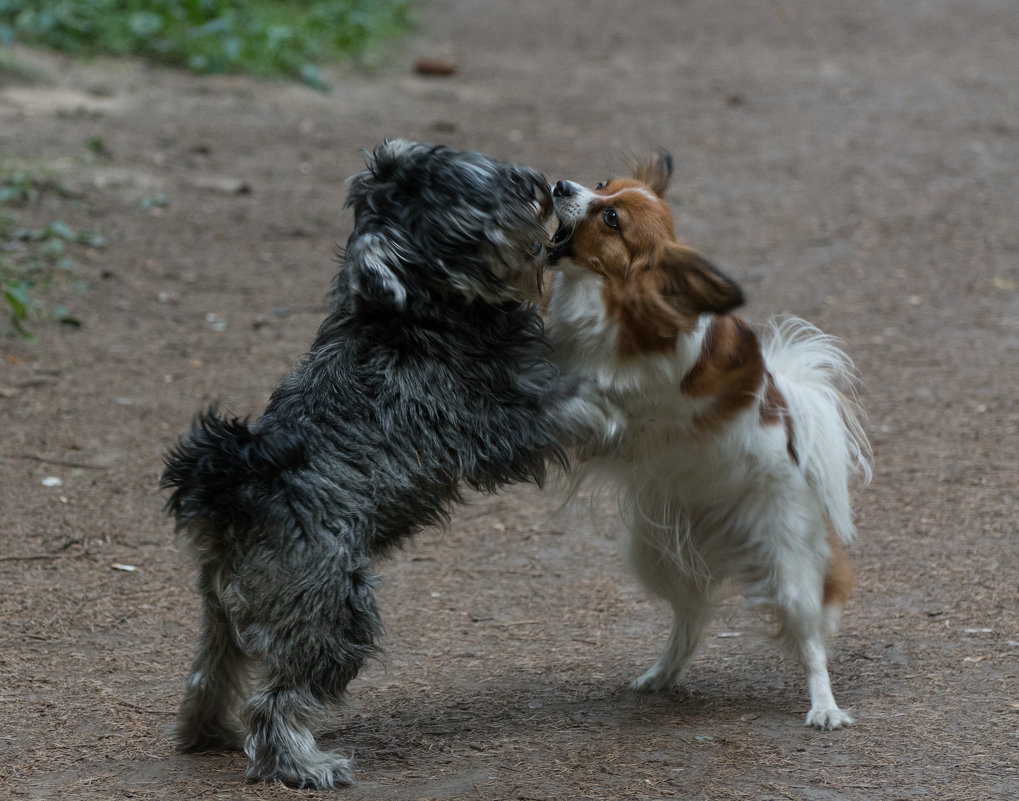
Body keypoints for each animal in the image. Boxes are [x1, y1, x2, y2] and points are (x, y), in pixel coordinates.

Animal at [158, 138, 603, 786]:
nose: (537, 186)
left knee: (210, 674)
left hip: (224, 609)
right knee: (277, 701)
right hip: (335, 613)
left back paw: (208, 733)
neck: (421, 307)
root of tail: (230, 488)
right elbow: (576, 403)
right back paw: (305, 765)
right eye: (472, 199)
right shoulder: (505, 429)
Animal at [546, 152, 872, 725]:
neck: (616, 306)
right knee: (691, 619)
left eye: (611, 219)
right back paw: (661, 675)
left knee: (811, 642)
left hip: (791, 571)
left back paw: (825, 707)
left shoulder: (626, 403)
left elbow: (598, 398)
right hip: (655, 557)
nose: (561, 185)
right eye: (602, 184)